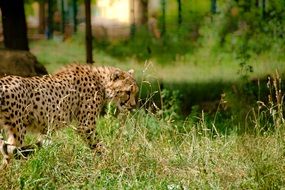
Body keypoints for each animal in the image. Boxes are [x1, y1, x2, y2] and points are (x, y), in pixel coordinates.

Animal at [0, 63, 139, 165]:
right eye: (128, 92)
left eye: (135, 92)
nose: (133, 105)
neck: (101, 82)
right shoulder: (86, 126)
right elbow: (99, 145)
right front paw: (111, 159)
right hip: (18, 130)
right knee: (8, 154)